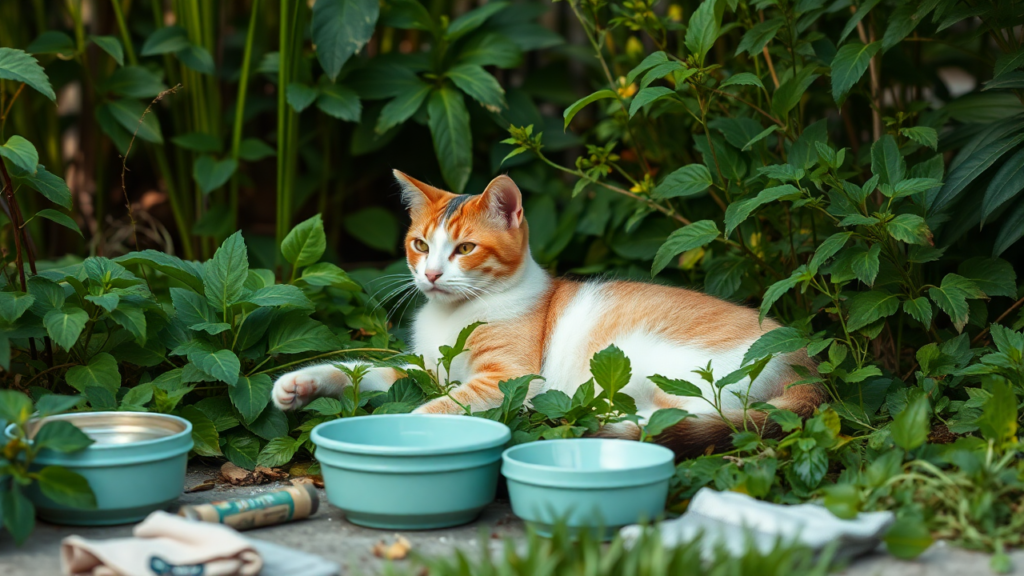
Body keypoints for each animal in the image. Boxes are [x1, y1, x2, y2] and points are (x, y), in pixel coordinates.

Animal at [274, 168, 823, 455]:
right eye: (420, 244)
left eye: (464, 249)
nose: (429, 274)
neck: (451, 317)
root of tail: (807, 365)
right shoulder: (427, 370)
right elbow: (362, 370)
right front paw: (301, 385)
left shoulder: (505, 377)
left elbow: (437, 407)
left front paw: (407, 432)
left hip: (660, 359)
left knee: (692, 414)